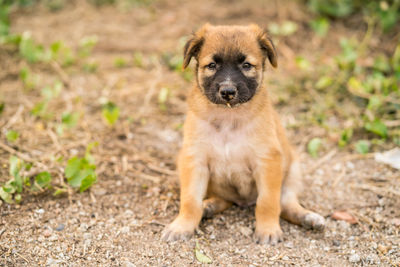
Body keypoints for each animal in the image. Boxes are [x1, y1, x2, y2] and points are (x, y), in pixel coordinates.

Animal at [162, 23, 324, 245]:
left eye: (246, 65)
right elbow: (190, 200)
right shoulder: (194, 160)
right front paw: (182, 225)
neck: (229, 118)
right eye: (212, 65)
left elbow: (268, 201)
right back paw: (208, 206)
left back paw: (308, 217)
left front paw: (268, 229)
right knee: (224, 199)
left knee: (286, 204)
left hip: (293, 171)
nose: (228, 91)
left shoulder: (267, 161)